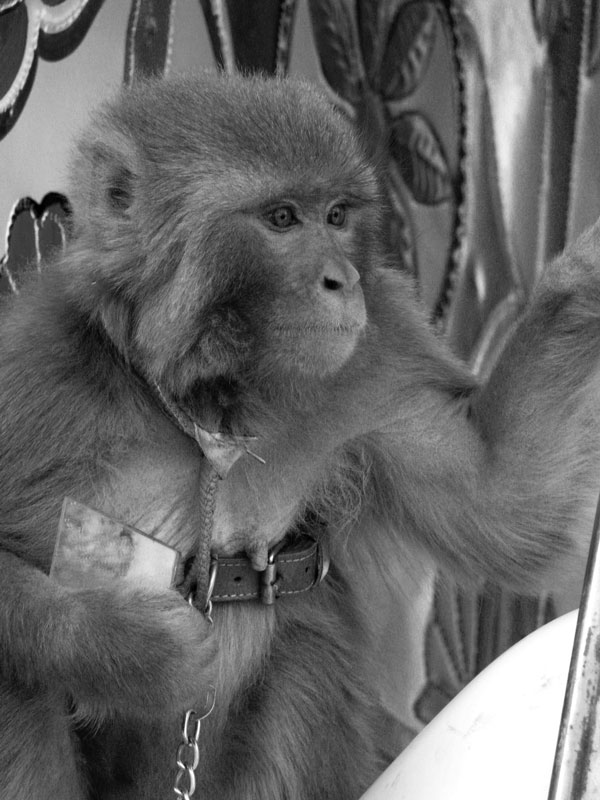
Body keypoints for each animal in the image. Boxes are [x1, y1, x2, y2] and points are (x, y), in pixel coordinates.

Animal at [0, 70, 596, 800]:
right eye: (282, 219)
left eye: (336, 216)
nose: (343, 279)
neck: (212, 399)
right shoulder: (36, 374)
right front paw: (134, 649)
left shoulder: (377, 361)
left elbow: (503, 506)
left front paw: (584, 278)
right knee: (20, 685)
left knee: (304, 656)